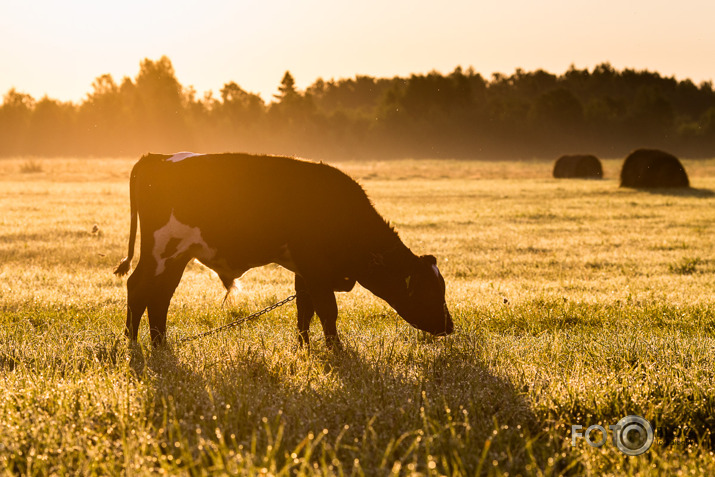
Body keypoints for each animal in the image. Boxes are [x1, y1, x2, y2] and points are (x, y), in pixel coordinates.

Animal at [115, 152, 456, 346]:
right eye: (428, 291)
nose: (449, 327)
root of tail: (158, 156)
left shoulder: (304, 273)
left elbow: (305, 311)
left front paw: (304, 347)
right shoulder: (316, 270)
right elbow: (328, 312)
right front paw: (336, 349)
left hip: (175, 257)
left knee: (160, 296)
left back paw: (160, 344)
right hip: (161, 251)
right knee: (139, 288)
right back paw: (133, 343)